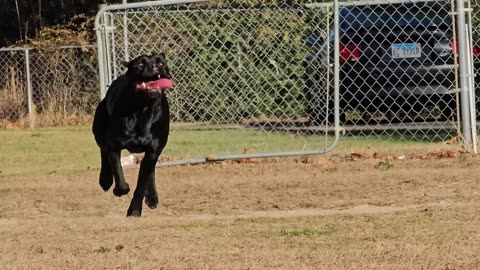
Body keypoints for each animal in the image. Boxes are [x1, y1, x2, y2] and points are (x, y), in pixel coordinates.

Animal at [92, 53, 172, 216]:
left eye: (161, 63)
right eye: (140, 64)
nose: (154, 66)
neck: (143, 109)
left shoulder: (154, 149)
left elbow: (142, 182)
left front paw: (134, 210)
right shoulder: (114, 146)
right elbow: (119, 175)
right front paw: (119, 190)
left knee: (150, 170)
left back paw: (152, 197)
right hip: (98, 130)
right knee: (103, 150)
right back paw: (105, 180)